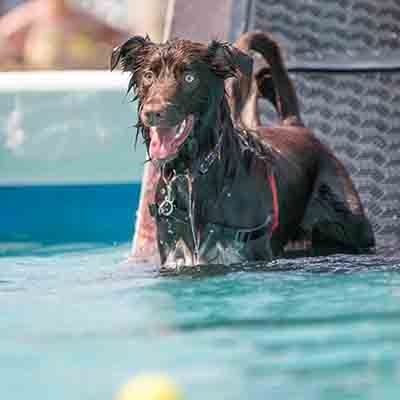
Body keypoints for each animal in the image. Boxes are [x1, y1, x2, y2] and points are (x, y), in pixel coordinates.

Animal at [110, 32, 376, 268]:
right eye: (148, 75)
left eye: (189, 78)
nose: (153, 112)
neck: (193, 172)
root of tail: (295, 126)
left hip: (350, 223)